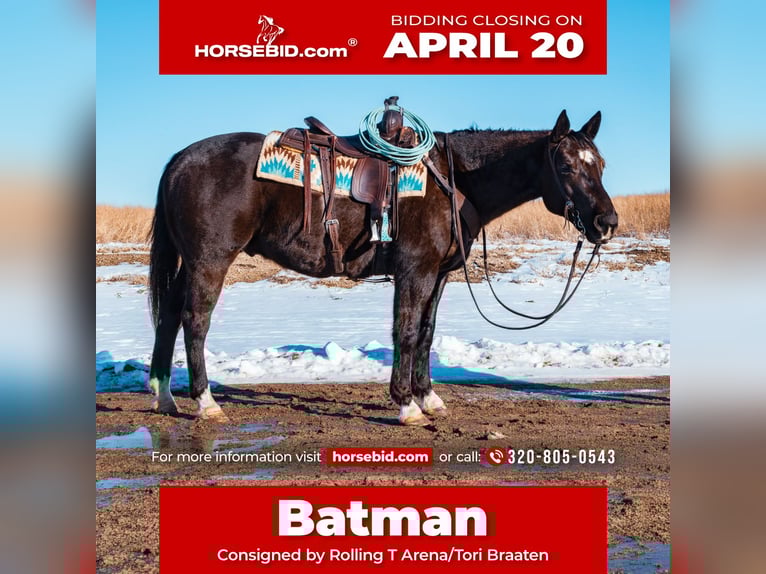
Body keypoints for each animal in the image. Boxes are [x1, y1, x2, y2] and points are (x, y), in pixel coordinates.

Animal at [147, 109, 618, 425]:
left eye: (600, 164)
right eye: (565, 165)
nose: (606, 222)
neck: (455, 181)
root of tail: (181, 158)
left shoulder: (439, 275)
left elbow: (426, 333)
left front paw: (428, 398)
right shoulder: (415, 270)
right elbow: (405, 331)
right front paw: (406, 405)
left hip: (189, 262)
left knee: (168, 316)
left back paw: (164, 397)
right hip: (210, 260)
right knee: (195, 320)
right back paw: (206, 403)